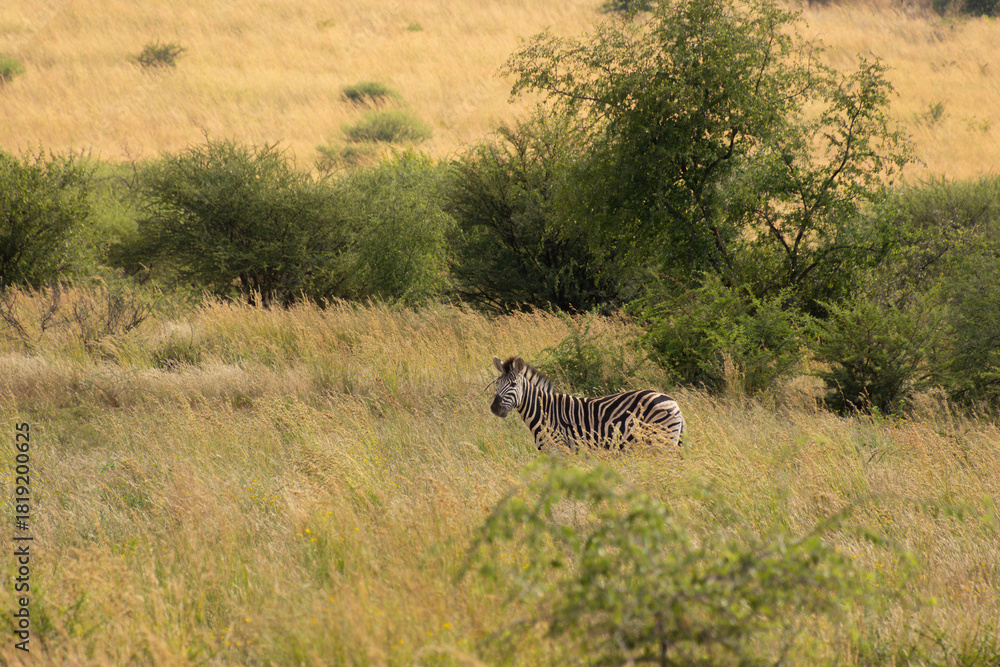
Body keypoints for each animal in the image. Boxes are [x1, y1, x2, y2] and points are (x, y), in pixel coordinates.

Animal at [490, 356, 685, 451]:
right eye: (497, 383)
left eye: (513, 384)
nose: (494, 409)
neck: (544, 412)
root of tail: (674, 402)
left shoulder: (560, 449)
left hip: (661, 441)